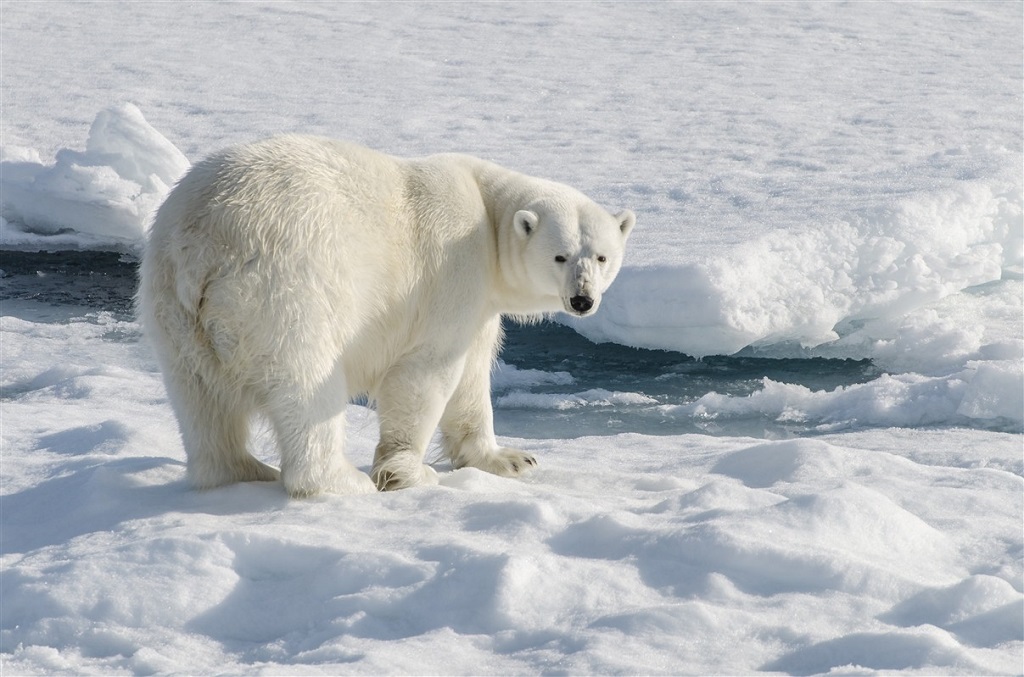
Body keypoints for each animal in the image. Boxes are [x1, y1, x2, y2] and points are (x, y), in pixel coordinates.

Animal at [136, 136, 630, 495]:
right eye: (560, 256)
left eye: (601, 256)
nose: (582, 300)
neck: (487, 215)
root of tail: (203, 248)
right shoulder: (453, 272)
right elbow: (426, 372)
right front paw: (406, 472)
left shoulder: (479, 304)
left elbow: (472, 375)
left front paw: (511, 458)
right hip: (287, 291)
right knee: (307, 386)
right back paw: (338, 479)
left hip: (171, 307)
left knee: (200, 397)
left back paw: (243, 469)